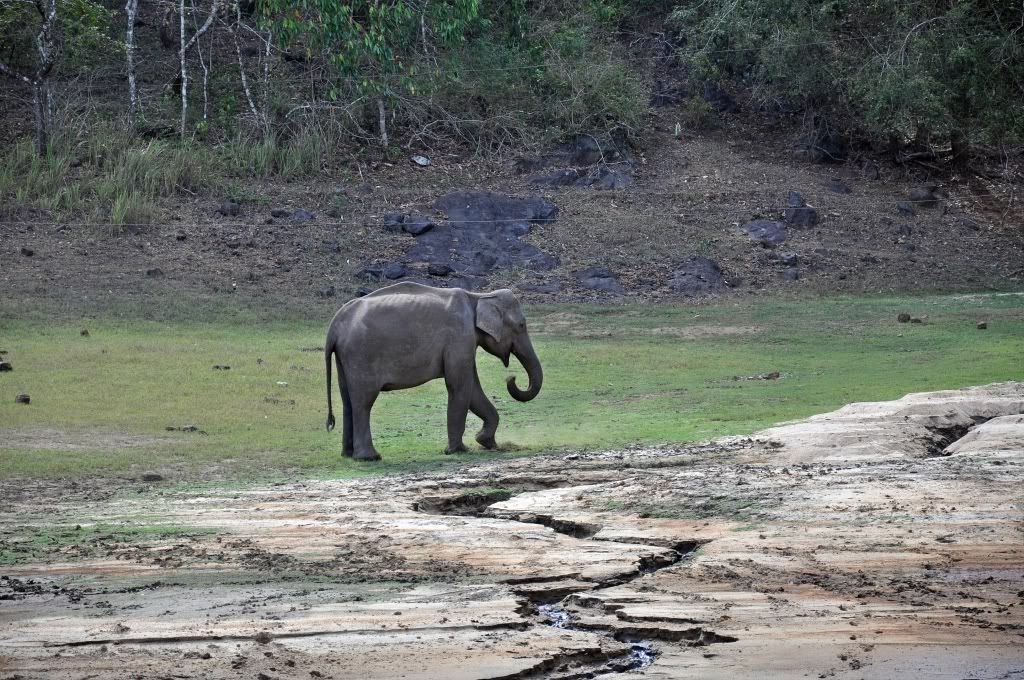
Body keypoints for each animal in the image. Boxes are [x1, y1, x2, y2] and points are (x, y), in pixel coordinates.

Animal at [325, 278, 544, 458]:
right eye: (521, 325)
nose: (511, 378)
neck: (477, 296)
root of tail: (335, 324)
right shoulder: (460, 337)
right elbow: (459, 386)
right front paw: (458, 451)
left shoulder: (464, 343)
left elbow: (472, 388)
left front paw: (486, 442)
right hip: (361, 355)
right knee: (364, 401)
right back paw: (370, 457)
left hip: (345, 358)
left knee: (347, 400)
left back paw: (348, 455)